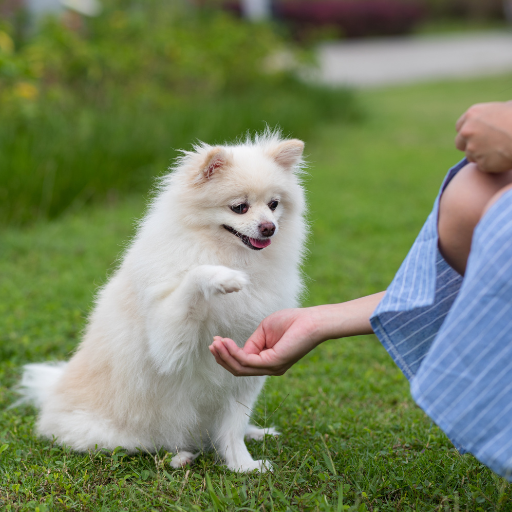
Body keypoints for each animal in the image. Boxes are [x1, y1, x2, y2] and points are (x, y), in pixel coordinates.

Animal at [19, 131, 308, 472]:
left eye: (274, 205)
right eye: (239, 207)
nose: (269, 227)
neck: (229, 253)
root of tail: (51, 393)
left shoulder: (243, 372)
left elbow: (233, 427)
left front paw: (243, 465)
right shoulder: (167, 342)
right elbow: (193, 276)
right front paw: (223, 278)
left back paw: (254, 433)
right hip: (115, 434)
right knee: (145, 446)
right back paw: (179, 456)